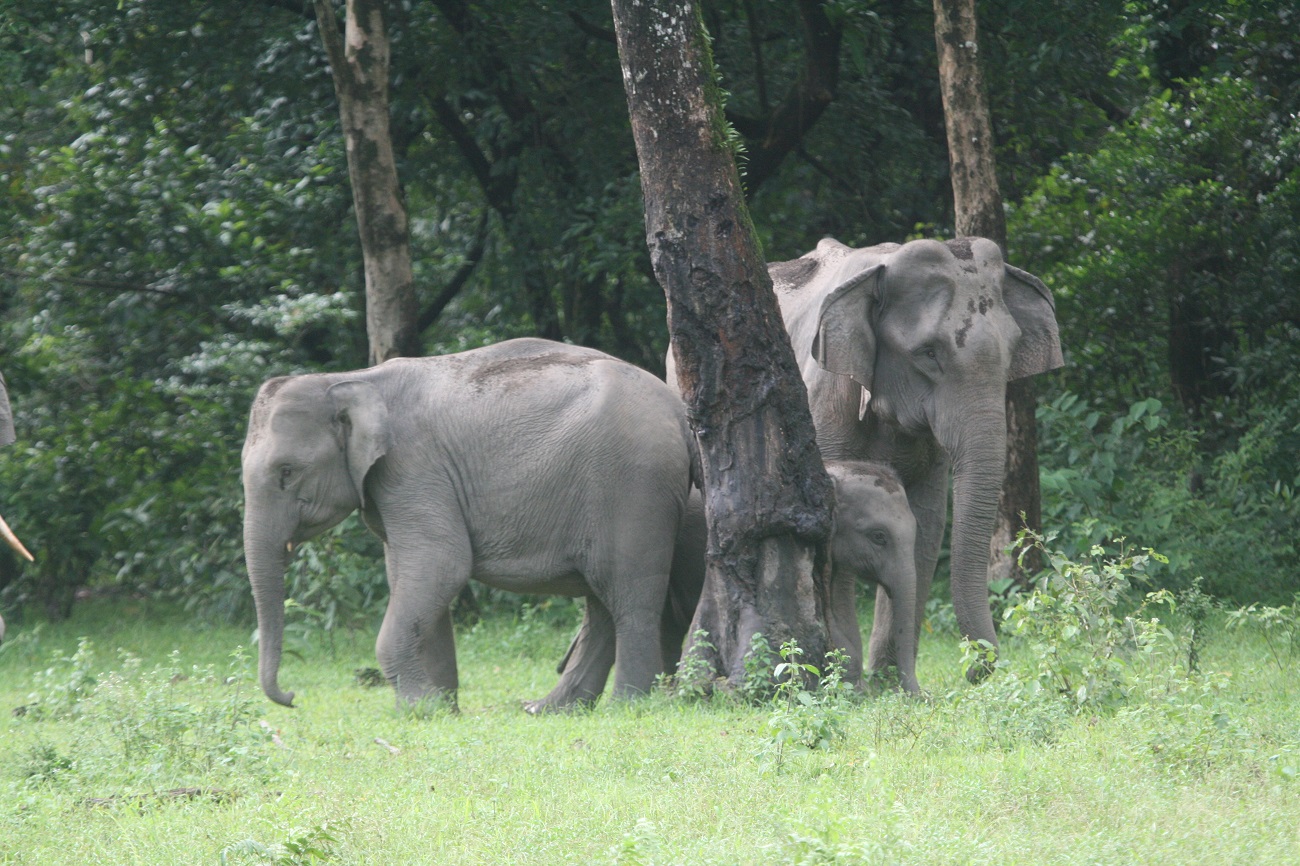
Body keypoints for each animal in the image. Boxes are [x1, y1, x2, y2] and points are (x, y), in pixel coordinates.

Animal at [241, 338, 696, 710]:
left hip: (634, 487)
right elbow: (410, 575)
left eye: (286, 472)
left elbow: (441, 564)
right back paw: (551, 709)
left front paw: (419, 709)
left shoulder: (413, 467)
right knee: (601, 603)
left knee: (629, 596)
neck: (350, 380)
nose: (290, 696)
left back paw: (627, 707)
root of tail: (678, 411)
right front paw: (440, 708)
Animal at [668, 237, 1062, 681]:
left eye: (1012, 351)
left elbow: (927, 525)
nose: (977, 671)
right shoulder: (821, 403)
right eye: (928, 353)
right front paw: (848, 675)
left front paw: (887, 685)